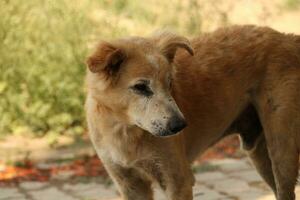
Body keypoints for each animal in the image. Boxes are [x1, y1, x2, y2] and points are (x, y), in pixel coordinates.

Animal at [84, 25, 300, 200]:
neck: (125, 130)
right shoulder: (130, 185)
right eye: (140, 87)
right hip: (260, 156)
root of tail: (287, 38)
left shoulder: (177, 180)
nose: (180, 125)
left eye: (170, 83)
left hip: (281, 153)